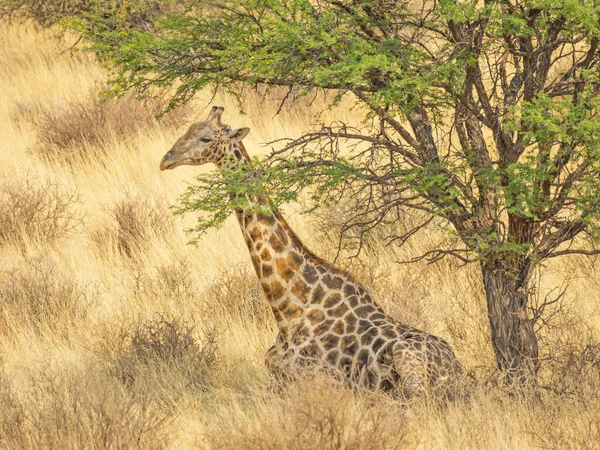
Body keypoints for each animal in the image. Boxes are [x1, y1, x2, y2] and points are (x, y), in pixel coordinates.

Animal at [162, 106, 466, 398]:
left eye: (206, 138)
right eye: (188, 129)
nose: (166, 159)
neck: (288, 307)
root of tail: (460, 370)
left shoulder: (318, 380)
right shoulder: (273, 376)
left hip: (407, 359)